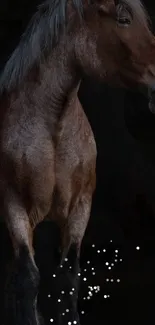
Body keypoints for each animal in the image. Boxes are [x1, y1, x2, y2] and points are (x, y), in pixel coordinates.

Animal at [0, 0, 155, 322]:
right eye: (123, 19)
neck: (53, 128)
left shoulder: (79, 209)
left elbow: (67, 278)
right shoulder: (15, 208)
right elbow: (28, 279)